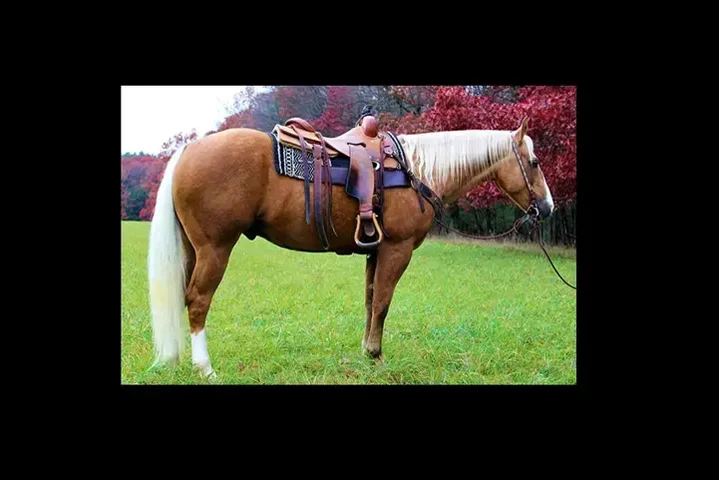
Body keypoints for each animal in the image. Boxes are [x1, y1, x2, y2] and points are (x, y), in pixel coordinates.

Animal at [146, 116, 554, 380]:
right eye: (534, 162)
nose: (547, 208)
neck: (415, 172)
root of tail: (190, 149)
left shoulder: (376, 251)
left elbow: (371, 300)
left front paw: (366, 354)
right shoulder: (397, 250)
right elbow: (384, 303)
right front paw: (376, 356)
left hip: (193, 249)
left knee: (183, 296)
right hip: (215, 248)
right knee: (198, 300)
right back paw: (205, 368)